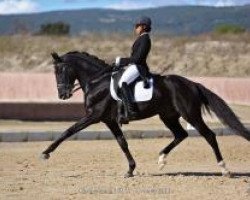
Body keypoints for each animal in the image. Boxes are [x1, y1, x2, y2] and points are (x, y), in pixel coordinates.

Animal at [41, 50, 250, 177]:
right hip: (168, 116)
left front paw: (45, 153)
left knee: (209, 135)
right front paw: (130, 170)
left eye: (59, 70)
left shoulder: (94, 116)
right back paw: (161, 159)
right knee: (180, 134)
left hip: (190, 115)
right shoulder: (109, 120)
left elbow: (68, 131)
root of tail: (192, 83)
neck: (97, 82)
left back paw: (224, 169)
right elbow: (122, 143)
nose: (63, 95)